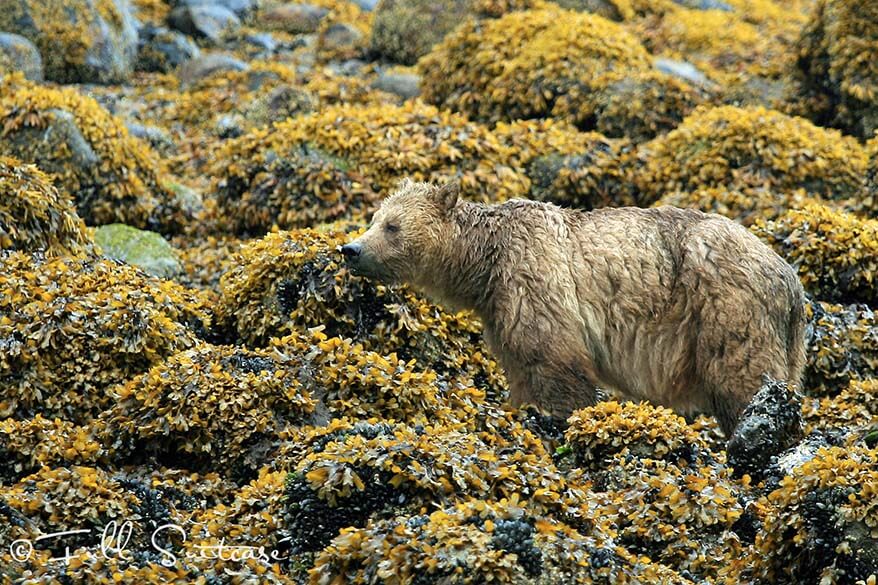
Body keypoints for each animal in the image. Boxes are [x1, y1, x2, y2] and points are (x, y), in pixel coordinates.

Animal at [340, 180, 808, 436]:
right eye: (374, 217)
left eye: (392, 225)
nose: (351, 249)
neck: (484, 264)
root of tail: (789, 277)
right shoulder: (501, 308)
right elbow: (522, 367)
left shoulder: (535, 279)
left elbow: (557, 363)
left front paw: (559, 418)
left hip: (727, 307)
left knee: (743, 379)